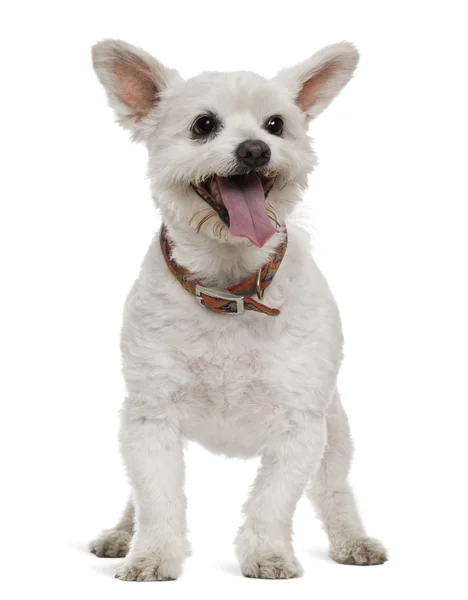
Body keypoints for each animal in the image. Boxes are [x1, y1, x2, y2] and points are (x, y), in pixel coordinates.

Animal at [89, 38, 386, 580]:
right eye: (204, 124)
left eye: (276, 124)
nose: (255, 149)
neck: (230, 289)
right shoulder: (149, 417)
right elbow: (156, 498)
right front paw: (152, 556)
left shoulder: (300, 423)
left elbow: (272, 499)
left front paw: (267, 554)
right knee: (134, 497)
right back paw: (122, 534)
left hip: (335, 432)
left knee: (335, 490)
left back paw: (352, 539)